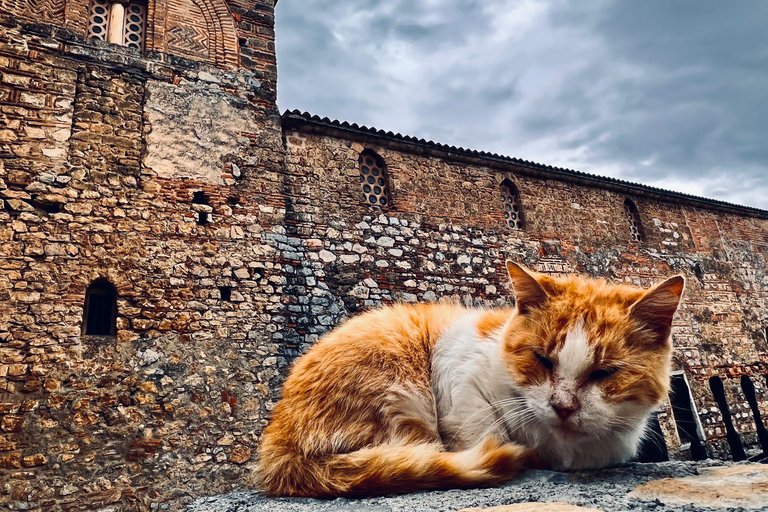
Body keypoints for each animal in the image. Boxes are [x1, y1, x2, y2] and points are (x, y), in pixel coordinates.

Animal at [256, 262, 684, 498]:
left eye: (604, 372)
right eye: (542, 359)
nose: (562, 406)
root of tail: (277, 442)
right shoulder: (459, 372)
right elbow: (480, 427)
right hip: (400, 388)